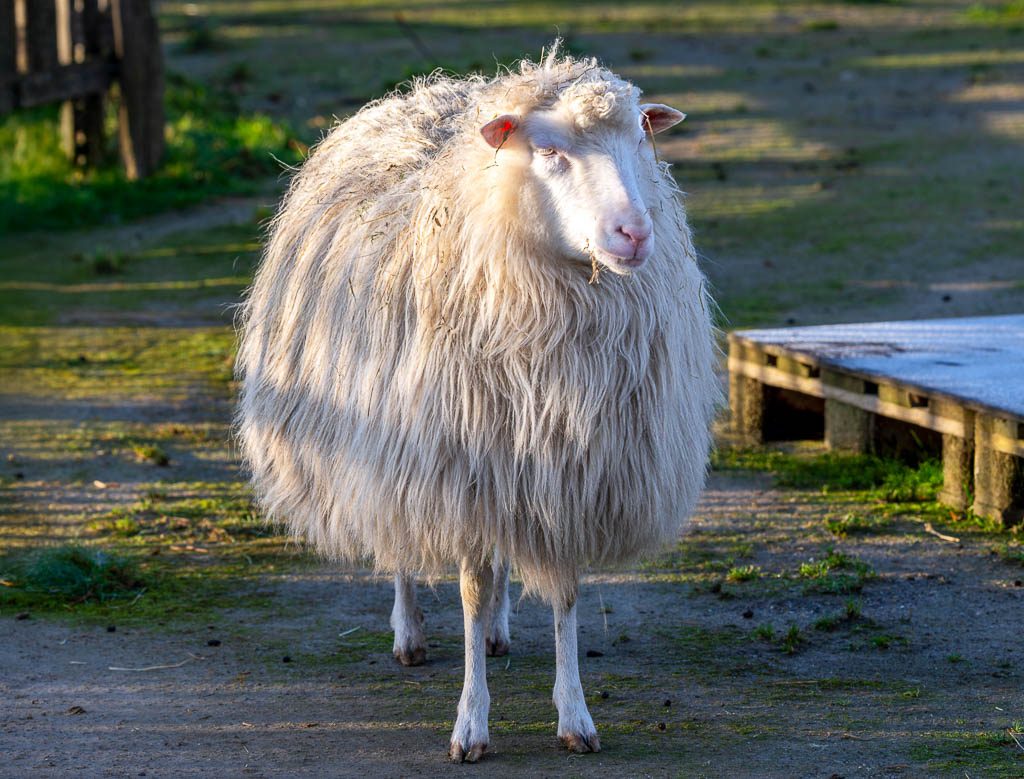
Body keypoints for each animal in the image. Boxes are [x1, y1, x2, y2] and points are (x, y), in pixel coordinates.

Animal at [234, 44, 720, 762]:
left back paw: (496, 628)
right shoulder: (454, 463)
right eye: (550, 152)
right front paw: (471, 722)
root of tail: (427, 93)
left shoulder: (565, 466)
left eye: (641, 138)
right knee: (403, 541)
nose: (634, 234)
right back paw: (409, 632)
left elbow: (564, 591)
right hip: (397, 442)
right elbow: (465, 587)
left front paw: (574, 714)